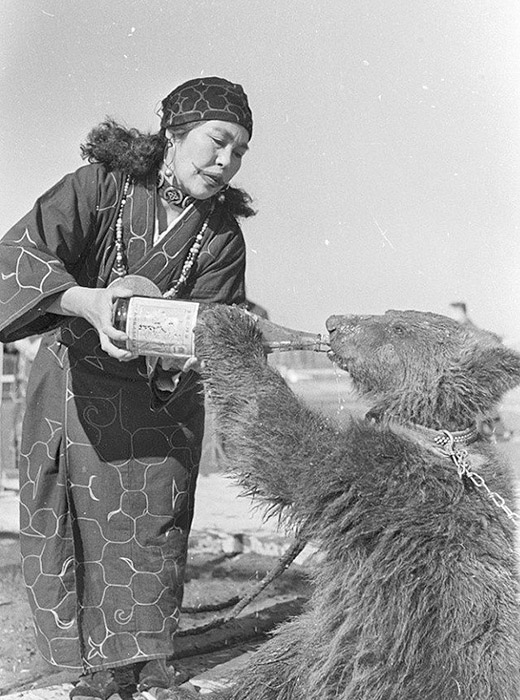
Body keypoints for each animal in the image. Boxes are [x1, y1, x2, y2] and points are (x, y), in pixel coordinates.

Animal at [192, 308, 520, 700]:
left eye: (399, 328)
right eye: (392, 312)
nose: (335, 323)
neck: (438, 436)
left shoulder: (380, 486)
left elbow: (280, 438)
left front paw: (228, 327)